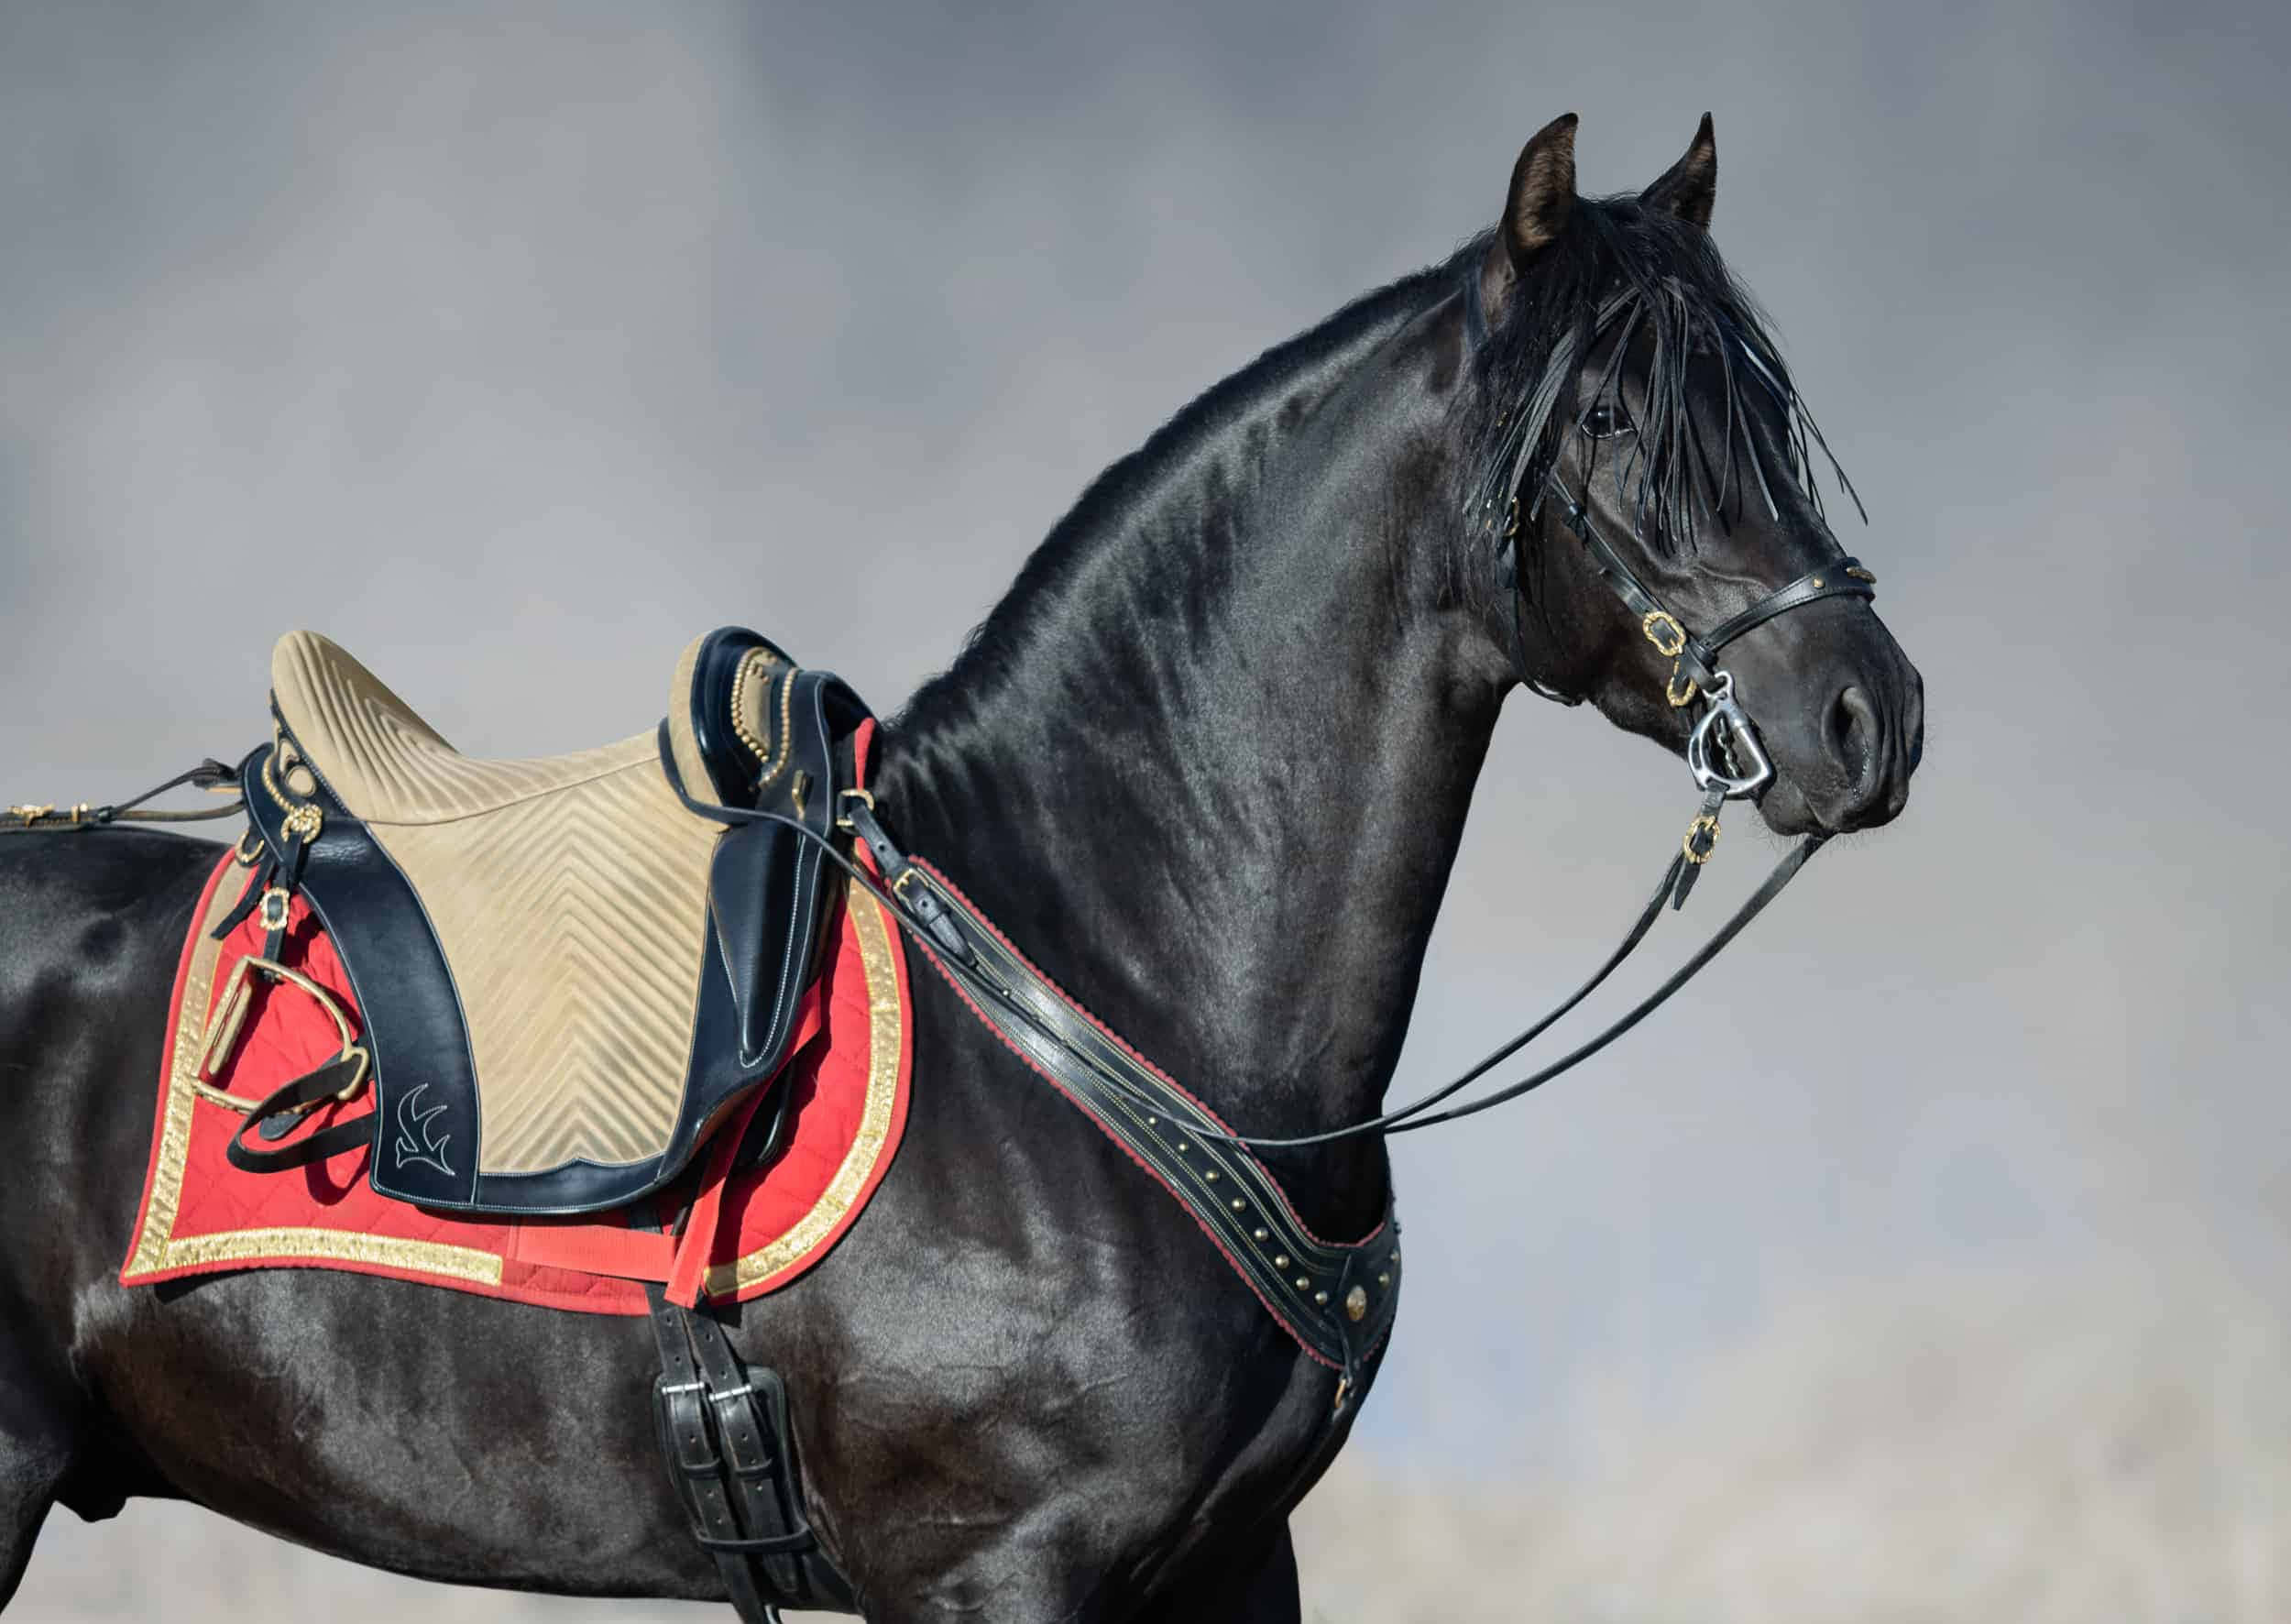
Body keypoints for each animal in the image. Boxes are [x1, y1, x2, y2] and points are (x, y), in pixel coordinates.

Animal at [0, 113, 1922, 1621]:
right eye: (1609, 418)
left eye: (1769, 410)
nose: (1869, 715)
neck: (1102, 964)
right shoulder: (992, 1570)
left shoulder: (1233, 1564)